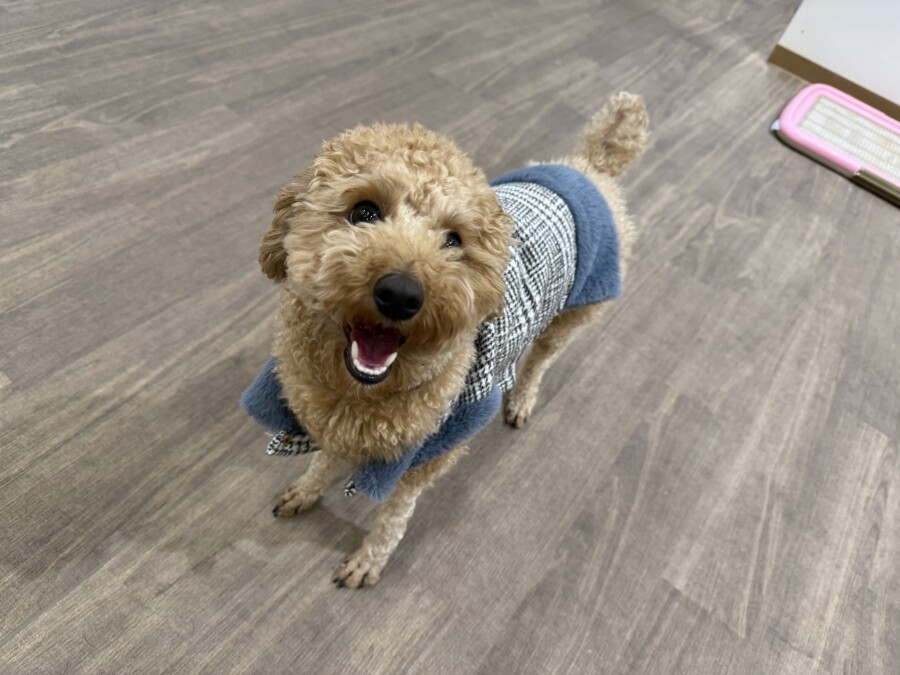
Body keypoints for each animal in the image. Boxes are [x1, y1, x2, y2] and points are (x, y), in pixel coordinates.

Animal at [240, 92, 649, 588]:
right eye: (364, 212)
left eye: (454, 240)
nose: (401, 294)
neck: (358, 394)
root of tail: (592, 166)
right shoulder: (323, 424)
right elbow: (322, 462)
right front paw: (306, 490)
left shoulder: (429, 454)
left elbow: (394, 515)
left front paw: (369, 559)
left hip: (572, 313)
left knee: (540, 362)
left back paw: (522, 400)